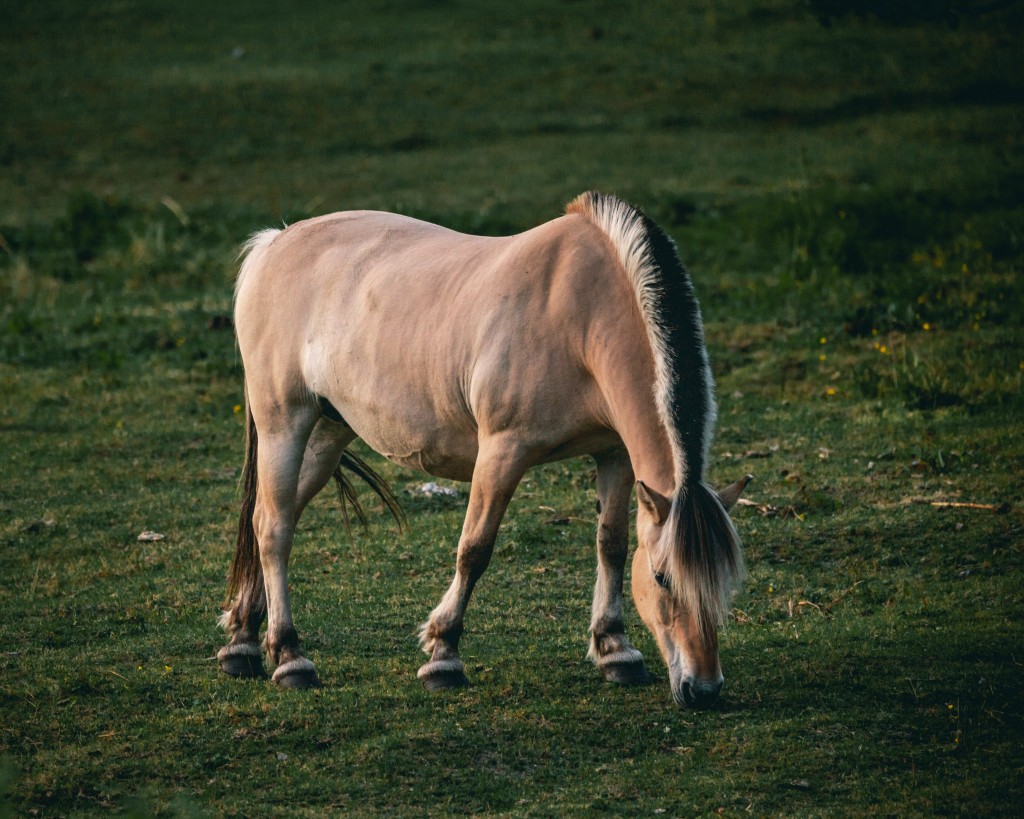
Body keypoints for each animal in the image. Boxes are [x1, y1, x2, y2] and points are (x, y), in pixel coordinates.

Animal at [217, 191, 749, 708]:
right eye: (662, 579)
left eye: (725, 580)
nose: (703, 689)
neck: (581, 317)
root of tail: (274, 243)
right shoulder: (502, 452)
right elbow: (474, 550)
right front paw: (443, 654)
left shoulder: (615, 455)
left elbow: (612, 545)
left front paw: (615, 649)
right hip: (284, 424)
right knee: (273, 529)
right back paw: (289, 657)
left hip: (327, 434)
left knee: (270, 517)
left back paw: (243, 642)